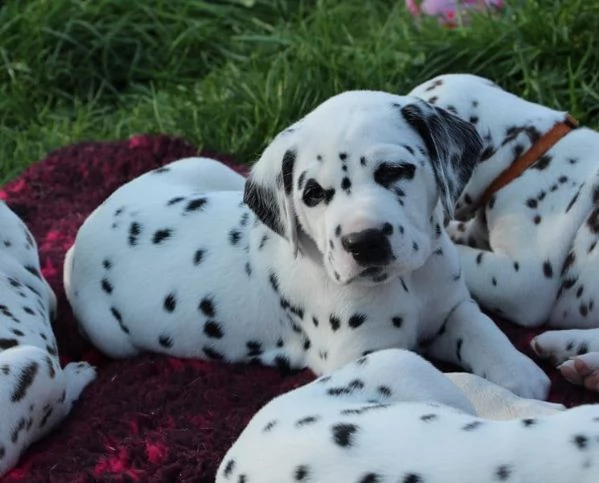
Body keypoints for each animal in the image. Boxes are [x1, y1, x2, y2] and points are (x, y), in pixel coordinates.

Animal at [64, 91, 548, 400]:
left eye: (395, 170)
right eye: (313, 194)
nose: (364, 242)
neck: (404, 284)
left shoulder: (449, 308)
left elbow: (481, 327)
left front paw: (521, 374)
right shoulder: (362, 357)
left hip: (211, 169)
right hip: (113, 339)